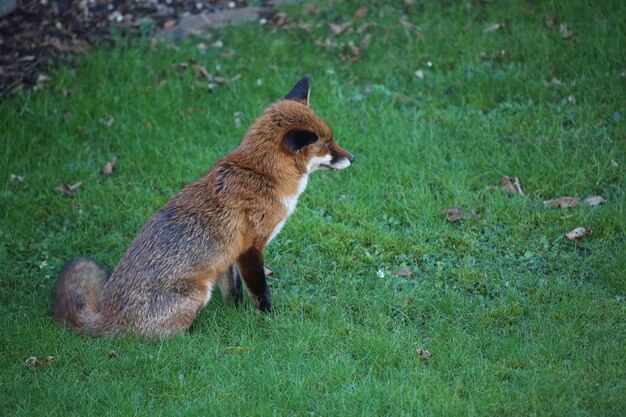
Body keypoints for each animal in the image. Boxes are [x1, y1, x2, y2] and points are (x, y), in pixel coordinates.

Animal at [53, 76, 354, 338]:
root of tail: (106, 315)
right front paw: (269, 319)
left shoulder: (230, 253)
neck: (262, 175)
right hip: (198, 293)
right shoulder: (251, 249)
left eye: (332, 138)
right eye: (327, 143)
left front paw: (236, 313)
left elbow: (233, 291)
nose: (353, 158)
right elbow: (260, 292)